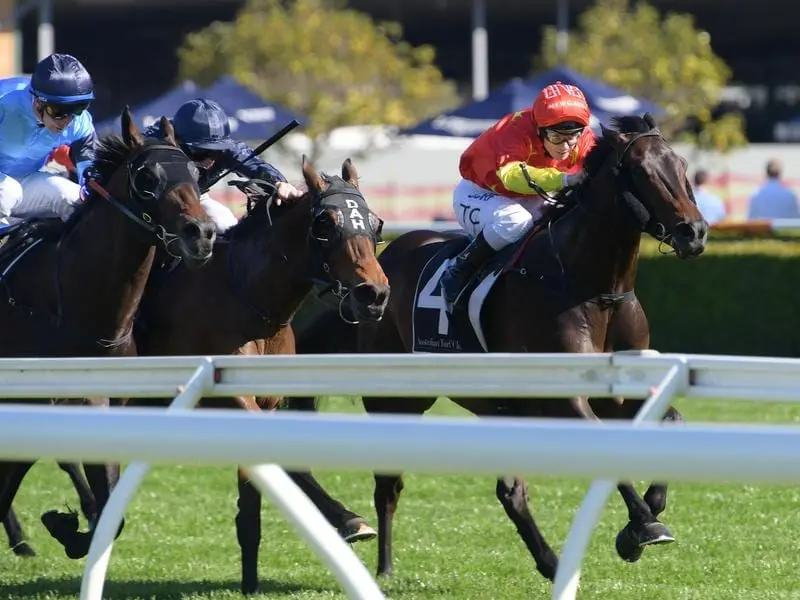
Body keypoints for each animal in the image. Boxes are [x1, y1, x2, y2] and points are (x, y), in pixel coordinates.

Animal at [0, 108, 216, 564]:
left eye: (193, 171)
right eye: (147, 177)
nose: (202, 234)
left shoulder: (105, 404)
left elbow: (109, 511)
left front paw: (66, 526)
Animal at [286, 115, 708, 584]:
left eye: (681, 166)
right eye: (642, 171)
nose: (694, 232)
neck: (592, 287)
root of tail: (377, 272)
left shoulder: (617, 391)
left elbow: (673, 422)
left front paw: (641, 520)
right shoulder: (564, 396)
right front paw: (644, 526)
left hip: (498, 403)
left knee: (509, 491)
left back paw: (549, 561)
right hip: (398, 395)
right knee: (388, 483)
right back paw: (383, 563)